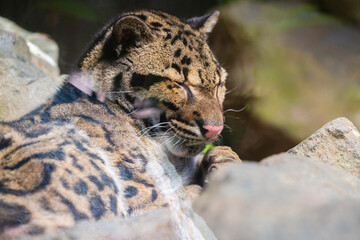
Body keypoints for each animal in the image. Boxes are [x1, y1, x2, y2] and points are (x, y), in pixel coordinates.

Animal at [0, 9, 242, 238]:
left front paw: (223, 159)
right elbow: (181, 202)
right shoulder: (145, 196)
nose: (214, 128)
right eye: (178, 84)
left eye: (219, 84)